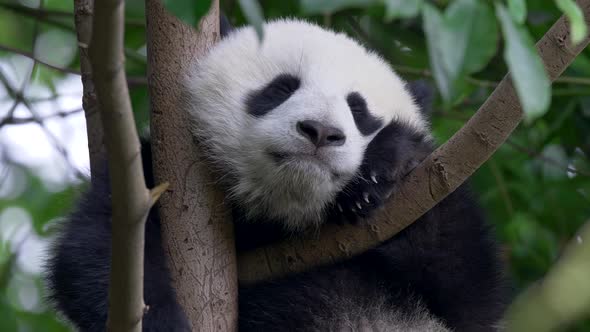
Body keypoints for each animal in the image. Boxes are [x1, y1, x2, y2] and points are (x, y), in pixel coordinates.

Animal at [46, 18, 508, 332]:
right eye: (282, 88)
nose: (320, 131)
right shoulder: (146, 179)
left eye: (359, 110)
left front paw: (386, 166)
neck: (282, 215)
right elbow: (100, 246)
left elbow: (468, 288)